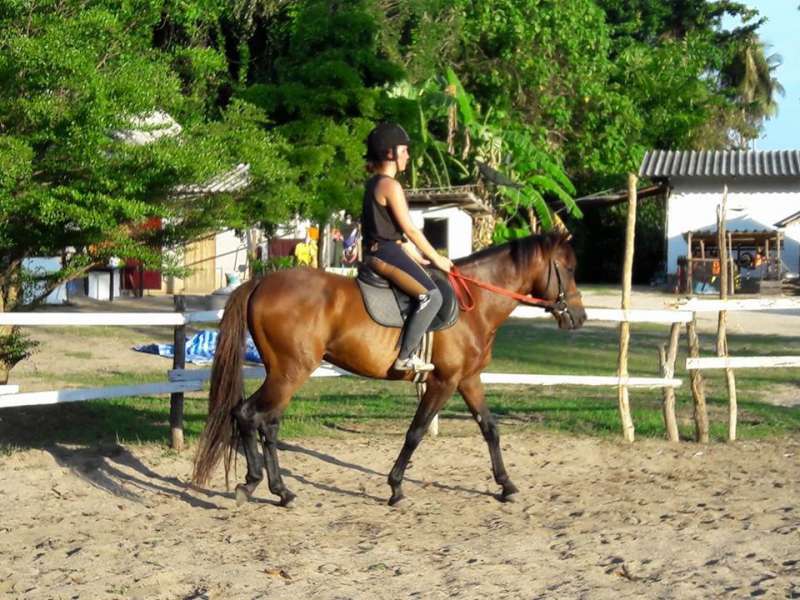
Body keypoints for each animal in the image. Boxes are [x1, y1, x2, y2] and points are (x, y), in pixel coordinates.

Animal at [192, 232, 586, 506]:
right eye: (568, 269)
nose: (580, 317)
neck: (474, 305)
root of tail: (261, 281)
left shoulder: (468, 380)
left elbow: (490, 428)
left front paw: (506, 485)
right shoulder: (444, 382)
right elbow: (416, 432)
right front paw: (395, 487)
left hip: (283, 373)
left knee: (265, 423)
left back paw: (277, 489)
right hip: (290, 372)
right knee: (248, 415)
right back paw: (257, 484)